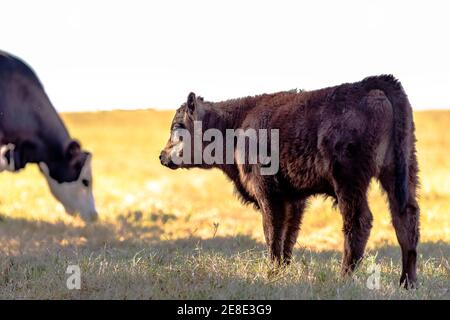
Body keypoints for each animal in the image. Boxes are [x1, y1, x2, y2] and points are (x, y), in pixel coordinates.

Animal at [160, 76, 420, 288]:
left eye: (178, 127)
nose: (162, 156)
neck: (236, 123)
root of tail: (371, 84)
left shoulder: (269, 194)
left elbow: (272, 233)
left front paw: (272, 272)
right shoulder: (294, 199)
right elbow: (289, 235)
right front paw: (283, 270)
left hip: (349, 182)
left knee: (358, 221)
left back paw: (344, 277)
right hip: (400, 172)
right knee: (405, 218)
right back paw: (407, 283)